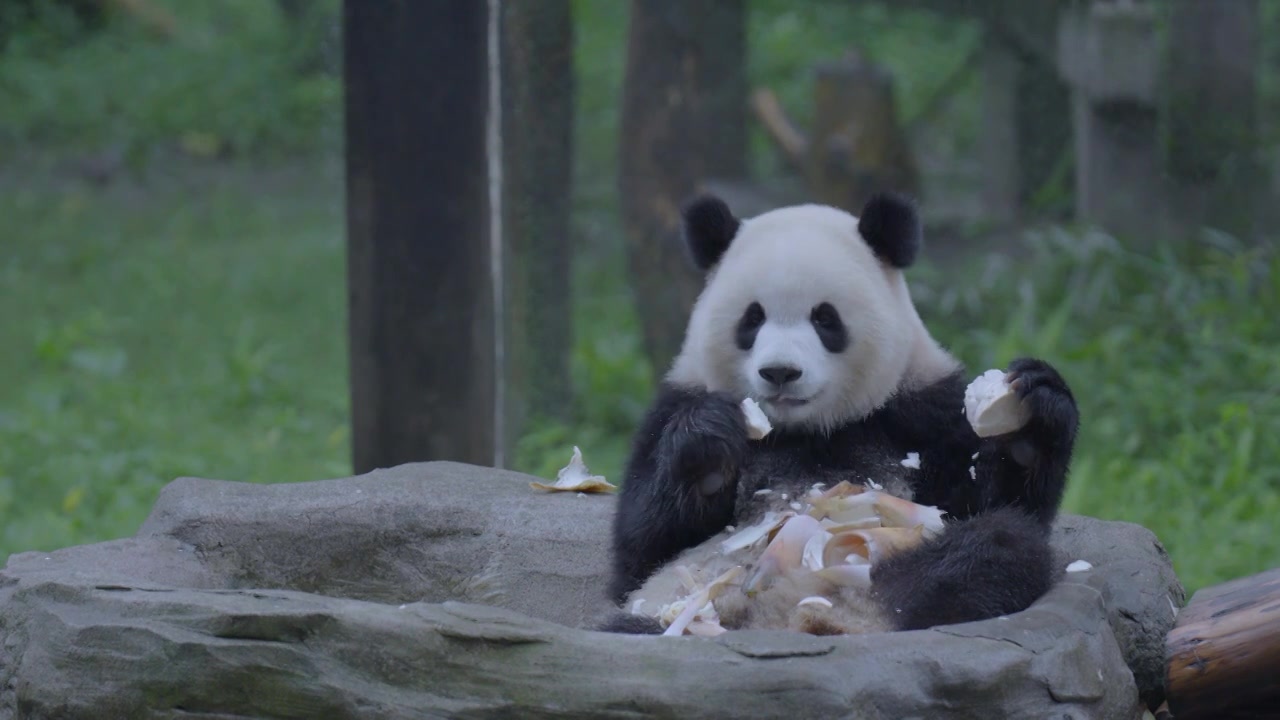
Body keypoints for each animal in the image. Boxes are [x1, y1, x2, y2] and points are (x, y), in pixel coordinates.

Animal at [599, 190, 1080, 632]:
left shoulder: (922, 409)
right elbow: (641, 550)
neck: (807, 429)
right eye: (752, 319)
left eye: (825, 318)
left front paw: (1035, 411)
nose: (780, 372)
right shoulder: (673, 403)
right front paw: (709, 445)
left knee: (1001, 545)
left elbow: (997, 500)